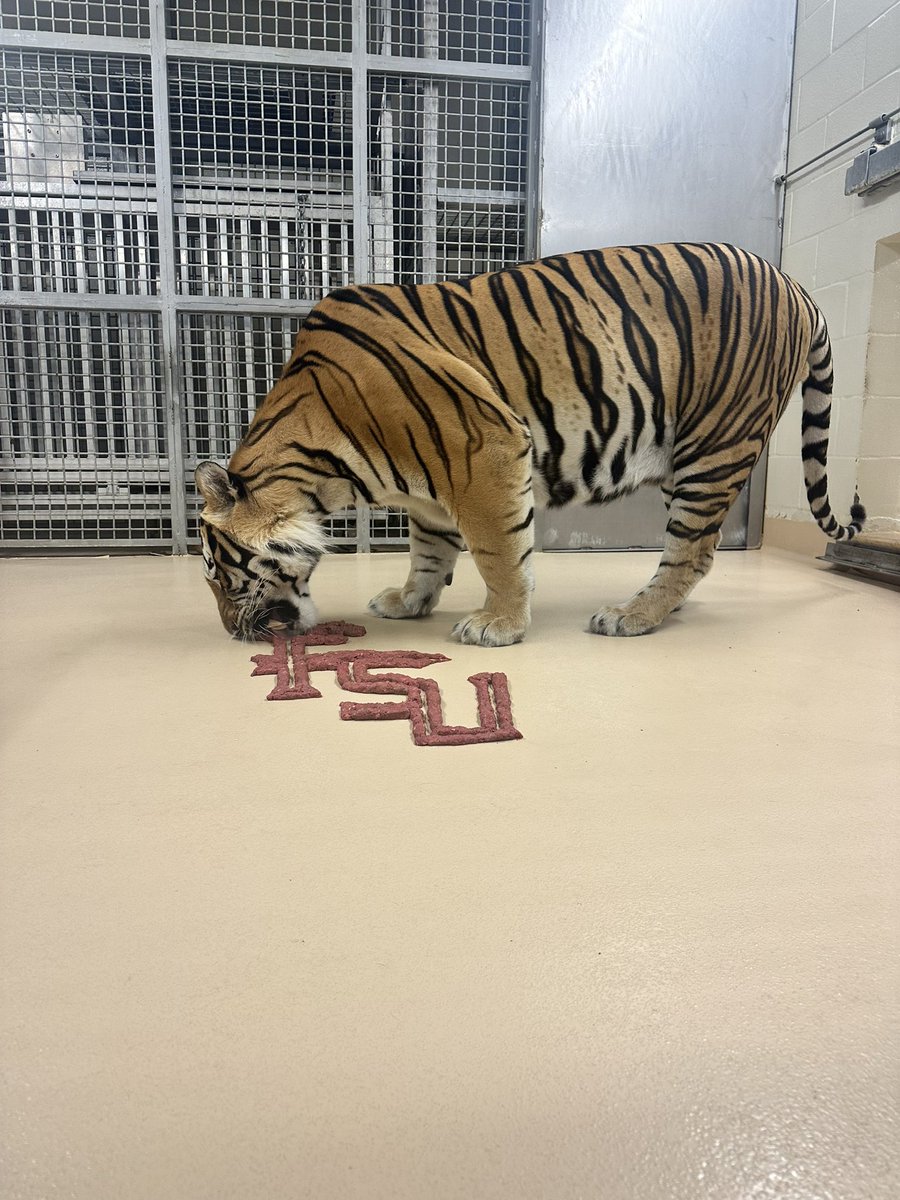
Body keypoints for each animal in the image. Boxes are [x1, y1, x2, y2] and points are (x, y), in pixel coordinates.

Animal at [196, 242, 865, 646]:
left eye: (220, 573)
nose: (229, 631)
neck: (321, 465)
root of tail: (797, 286)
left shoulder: (483, 448)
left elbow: (497, 551)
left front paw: (499, 624)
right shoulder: (433, 489)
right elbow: (428, 553)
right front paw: (410, 601)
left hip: (716, 444)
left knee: (693, 550)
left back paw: (632, 615)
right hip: (687, 456)